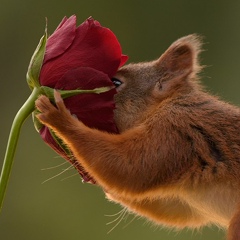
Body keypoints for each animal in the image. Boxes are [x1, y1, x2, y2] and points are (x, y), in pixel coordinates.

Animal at [36, 35, 240, 240]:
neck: (165, 104)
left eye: (116, 83)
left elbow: (129, 167)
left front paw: (59, 116)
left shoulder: (175, 130)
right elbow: (172, 208)